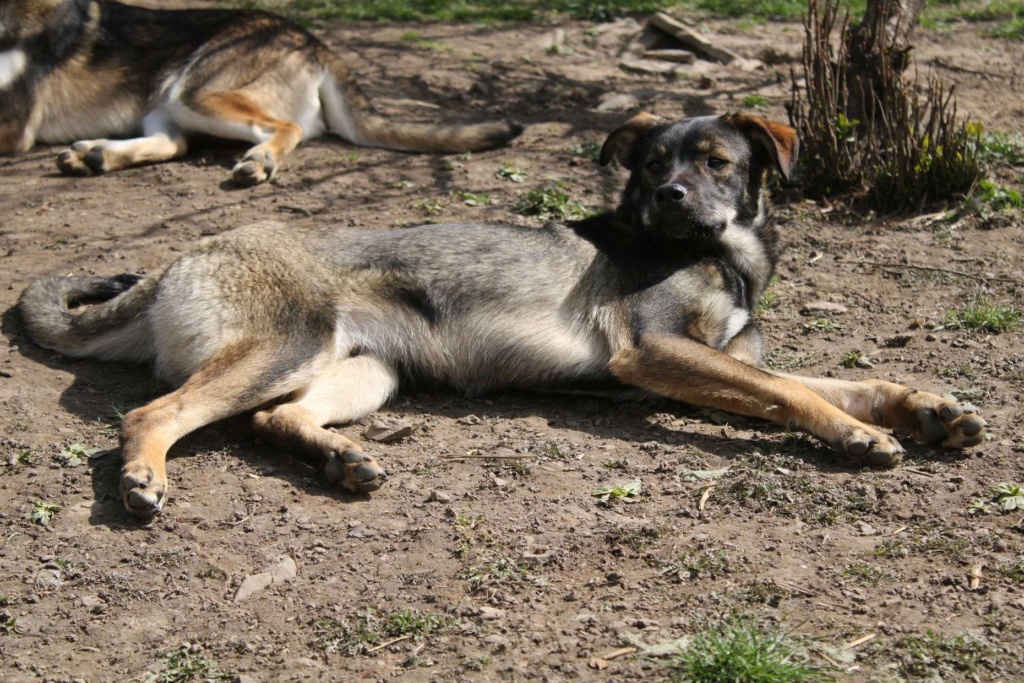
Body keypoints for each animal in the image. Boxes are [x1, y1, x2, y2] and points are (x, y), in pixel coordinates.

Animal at [0, 0, 524, 185]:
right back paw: (95, 155)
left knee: (286, 128)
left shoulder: (13, 128)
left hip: (194, 95)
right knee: (174, 145)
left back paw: (259, 161)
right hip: (171, 104)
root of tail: (314, 40)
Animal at [18, 113, 983, 518]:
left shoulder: (724, 358)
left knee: (272, 421)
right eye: (653, 166)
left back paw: (340, 460)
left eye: (715, 160)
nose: (670, 197)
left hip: (365, 370)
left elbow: (840, 377)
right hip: (289, 345)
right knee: (152, 413)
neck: (719, 255)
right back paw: (144, 480)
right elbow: (796, 394)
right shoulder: (655, 353)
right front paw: (858, 436)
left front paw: (927, 408)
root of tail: (181, 255)